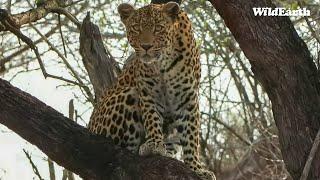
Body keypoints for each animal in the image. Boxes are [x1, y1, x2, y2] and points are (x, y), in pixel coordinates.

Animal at [88, 2, 215, 179]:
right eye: (136, 28)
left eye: (158, 28)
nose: (146, 46)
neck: (163, 62)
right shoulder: (147, 92)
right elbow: (152, 118)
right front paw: (154, 144)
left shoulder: (188, 97)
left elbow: (191, 135)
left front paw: (196, 168)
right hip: (128, 96)